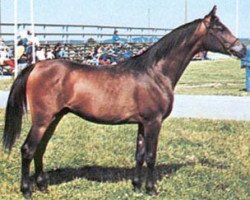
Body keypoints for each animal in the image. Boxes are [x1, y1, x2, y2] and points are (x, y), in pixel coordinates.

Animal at [1, 6, 247, 198]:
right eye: (219, 28)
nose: (242, 48)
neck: (155, 73)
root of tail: (35, 66)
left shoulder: (142, 123)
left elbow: (139, 155)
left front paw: (136, 186)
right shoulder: (153, 122)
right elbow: (151, 156)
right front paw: (151, 189)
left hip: (54, 118)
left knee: (40, 149)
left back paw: (43, 186)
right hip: (42, 120)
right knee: (27, 149)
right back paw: (27, 190)